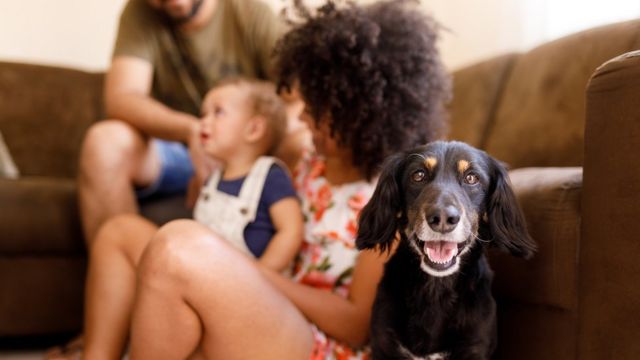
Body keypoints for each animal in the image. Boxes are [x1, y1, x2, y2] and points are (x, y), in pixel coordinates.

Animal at [358, 141, 536, 360]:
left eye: (471, 178)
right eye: (418, 175)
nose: (442, 218)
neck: (436, 290)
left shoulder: (475, 347)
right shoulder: (384, 344)